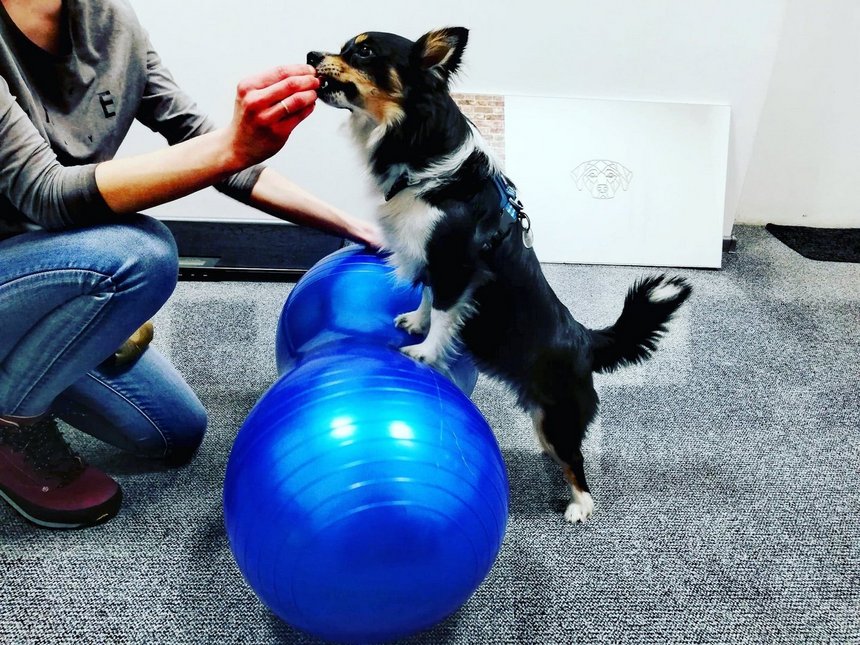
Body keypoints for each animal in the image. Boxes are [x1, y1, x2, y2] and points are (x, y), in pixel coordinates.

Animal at [306, 28, 688, 524]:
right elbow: (428, 296)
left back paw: (579, 505)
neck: (416, 142)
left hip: (559, 412)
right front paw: (414, 321)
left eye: (365, 51)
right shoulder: (432, 260)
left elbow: (444, 311)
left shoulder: (455, 262)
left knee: (576, 460)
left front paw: (423, 352)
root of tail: (586, 339)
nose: (310, 55)